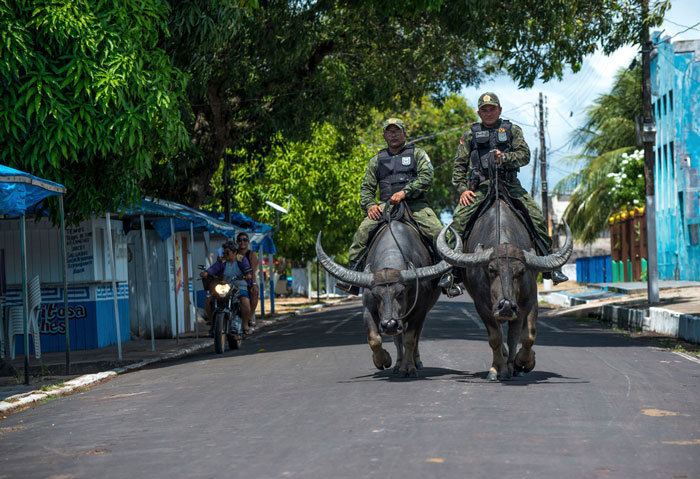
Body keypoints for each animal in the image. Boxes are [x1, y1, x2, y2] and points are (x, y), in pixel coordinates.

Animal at [314, 222, 456, 378]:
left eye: (401, 292)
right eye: (376, 295)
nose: (389, 324)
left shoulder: (419, 310)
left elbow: (410, 339)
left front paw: (409, 368)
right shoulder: (368, 309)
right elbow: (374, 339)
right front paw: (383, 361)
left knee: (415, 336)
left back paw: (415, 361)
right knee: (397, 339)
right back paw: (398, 364)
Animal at [434, 199, 572, 382]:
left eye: (521, 271)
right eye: (491, 269)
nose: (506, 306)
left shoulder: (528, 302)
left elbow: (525, 336)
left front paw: (521, 364)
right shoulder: (482, 305)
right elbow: (495, 337)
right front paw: (498, 369)